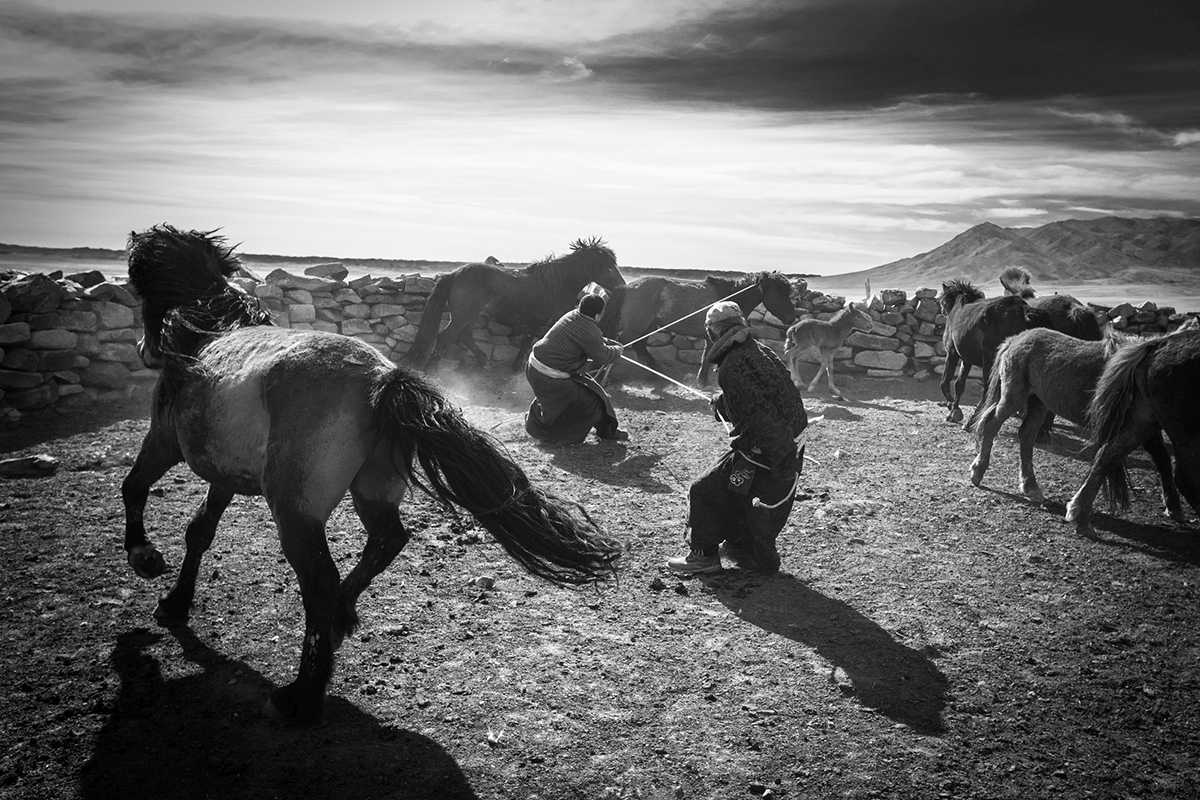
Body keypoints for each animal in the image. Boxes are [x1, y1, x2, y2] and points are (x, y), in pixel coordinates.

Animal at [405, 237, 624, 371]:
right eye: (609, 267)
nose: (621, 285)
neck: (555, 284)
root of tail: (456, 273)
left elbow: (529, 342)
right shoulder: (541, 323)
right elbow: (531, 343)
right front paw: (518, 367)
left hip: (469, 315)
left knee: (465, 336)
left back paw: (483, 361)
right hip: (463, 315)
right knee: (446, 337)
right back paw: (432, 368)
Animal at [600, 273, 796, 386]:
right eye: (779, 292)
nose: (791, 317)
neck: (727, 300)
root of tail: (628, 287)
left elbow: (707, 356)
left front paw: (702, 379)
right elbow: (707, 357)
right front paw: (702, 381)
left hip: (647, 326)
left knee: (640, 347)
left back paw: (655, 371)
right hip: (636, 327)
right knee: (623, 344)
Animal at [964, 328, 1180, 522]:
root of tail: (1016, 338)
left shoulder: (1149, 428)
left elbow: (1162, 460)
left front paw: (1173, 506)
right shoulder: (1138, 426)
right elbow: (1111, 457)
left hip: (1038, 402)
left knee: (1026, 435)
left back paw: (1030, 487)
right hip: (1014, 398)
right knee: (992, 424)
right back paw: (978, 472)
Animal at [1070, 323, 1200, 537]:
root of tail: (1158, 343)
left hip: (1145, 422)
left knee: (1107, 455)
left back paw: (1080, 516)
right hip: (1183, 431)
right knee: (1184, 475)